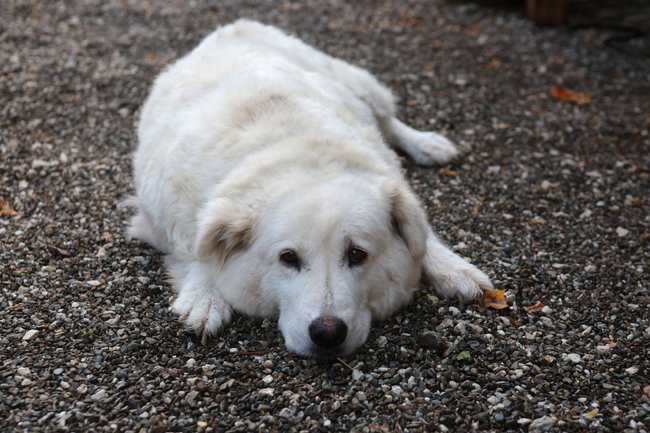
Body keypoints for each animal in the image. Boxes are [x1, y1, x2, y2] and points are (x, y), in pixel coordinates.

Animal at [128, 20, 492, 356]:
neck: (290, 148)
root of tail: (236, 25)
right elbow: (197, 252)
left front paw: (452, 267)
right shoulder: (159, 212)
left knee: (388, 121)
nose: (328, 334)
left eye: (357, 254)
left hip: (359, 86)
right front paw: (203, 297)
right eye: (288, 258)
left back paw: (427, 144)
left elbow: (423, 235)